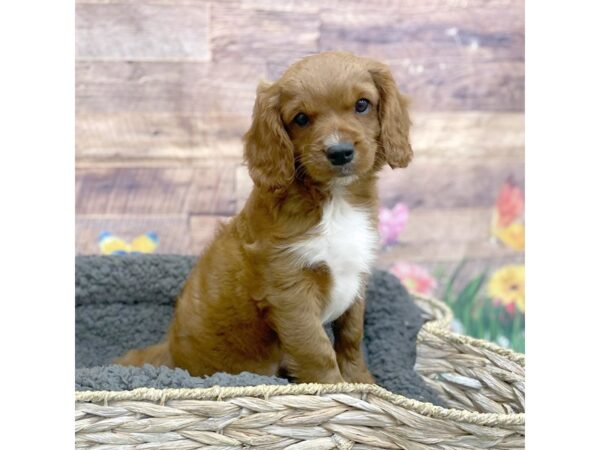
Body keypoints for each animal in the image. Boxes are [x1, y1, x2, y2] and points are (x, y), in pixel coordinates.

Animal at [115, 51, 410, 384]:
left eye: (362, 104)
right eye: (301, 119)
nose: (339, 152)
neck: (335, 202)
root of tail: (169, 354)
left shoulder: (356, 276)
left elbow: (351, 336)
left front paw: (364, 383)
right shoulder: (289, 292)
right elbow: (316, 349)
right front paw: (337, 389)